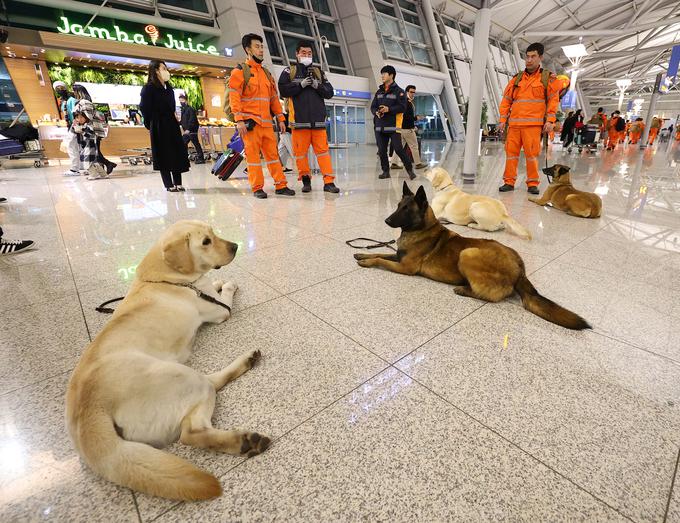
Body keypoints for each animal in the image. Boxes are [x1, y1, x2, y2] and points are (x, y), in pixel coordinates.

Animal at [65, 219, 268, 502]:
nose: (236, 246)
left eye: (213, 232)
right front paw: (227, 284)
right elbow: (225, 294)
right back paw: (243, 433)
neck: (167, 278)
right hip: (182, 377)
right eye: (206, 242)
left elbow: (213, 283)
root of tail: (89, 416)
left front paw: (217, 280)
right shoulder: (220, 311)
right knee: (193, 429)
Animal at [356, 184, 588, 330]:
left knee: (491, 296)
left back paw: (463, 289)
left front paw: (367, 262)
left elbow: (380, 259)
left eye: (406, 209)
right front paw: (362, 252)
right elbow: (380, 252)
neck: (421, 228)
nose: (386, 220)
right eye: (397, 206)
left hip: (467, 253)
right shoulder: (398, 257)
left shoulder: (406, 268)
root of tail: (520, 268)